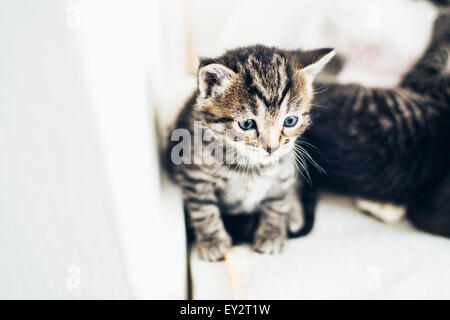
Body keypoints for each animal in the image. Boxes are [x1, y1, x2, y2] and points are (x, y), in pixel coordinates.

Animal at [168, 45, 334, 260]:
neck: (252, 164)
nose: (272, 148)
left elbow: (278, 202)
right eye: (247, 124)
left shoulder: (284, 172)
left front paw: (271, 234)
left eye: (290, 121)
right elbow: (203, 208)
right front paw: (213, 241)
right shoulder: (194, 174)